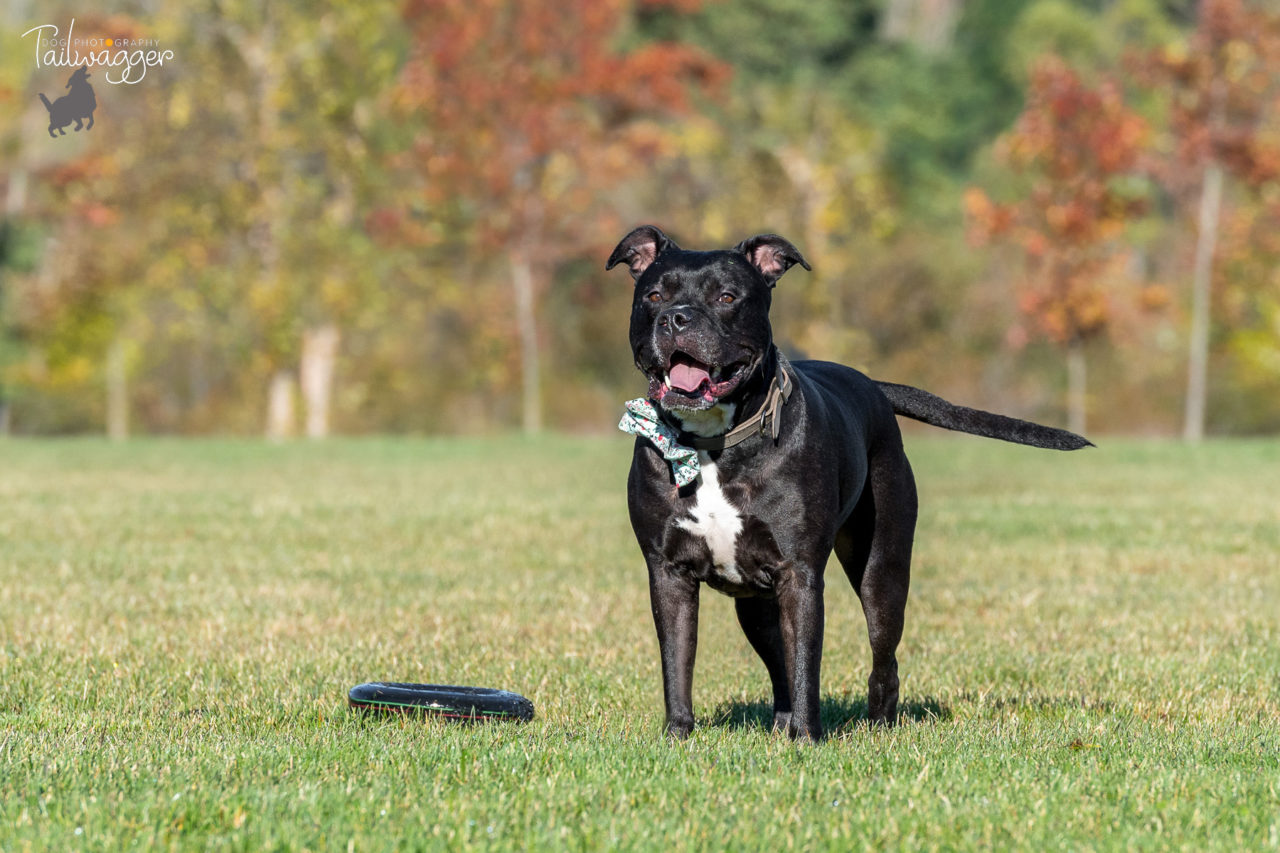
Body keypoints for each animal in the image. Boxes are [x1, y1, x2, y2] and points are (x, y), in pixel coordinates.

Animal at [609, 224, 1090, 737]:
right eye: (653, 296)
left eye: (726, 297)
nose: (676, 319)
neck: (713, 444)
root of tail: (875, 386)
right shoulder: (668, 573)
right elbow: (678, 663)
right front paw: (678, 735)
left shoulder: (799, 574)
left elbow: (806, 663)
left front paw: (806, 738)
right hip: (755, 601)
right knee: (779, 662)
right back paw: (782, 724)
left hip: (882, 569)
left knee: (883, 655)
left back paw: (878, 722)